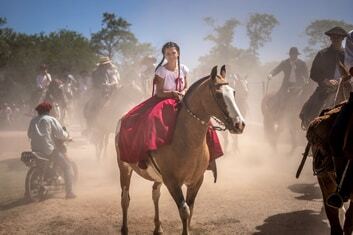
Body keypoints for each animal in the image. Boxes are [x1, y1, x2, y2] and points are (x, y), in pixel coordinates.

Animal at [115, 65, 245, 234]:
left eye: (233, 92)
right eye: (218, 94)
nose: (239, 124)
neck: (186, 140)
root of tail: (122, 119)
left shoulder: (196, 180)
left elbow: (191, 208)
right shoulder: (172, 182)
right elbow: (184, 211)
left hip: (158, 177)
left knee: (155, 194)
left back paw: (158, 227)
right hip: (124, 167)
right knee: (125, 199)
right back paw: (125, 228)